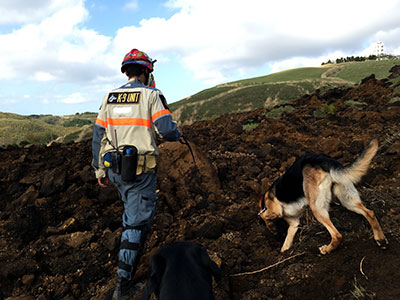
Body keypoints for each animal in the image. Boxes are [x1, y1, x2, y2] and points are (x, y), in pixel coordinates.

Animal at [260, 139, 388, 254]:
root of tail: (324, 161)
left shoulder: (276, 211)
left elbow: (263, 215)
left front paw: (271, 228)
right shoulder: (294, 223)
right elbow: (287, 240)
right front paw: (284, 251)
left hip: (317, 208)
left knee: (337, 235)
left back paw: (327, 249)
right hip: (347, 199)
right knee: (369, 213)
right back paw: (380, 239)